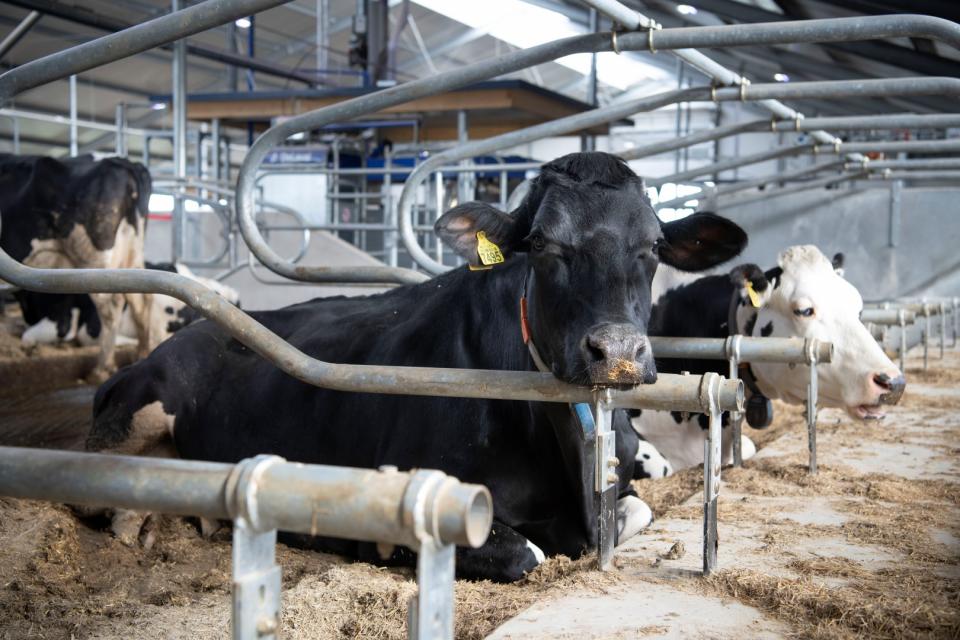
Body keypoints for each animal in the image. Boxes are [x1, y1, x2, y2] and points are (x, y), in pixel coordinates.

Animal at [0, 154, 153, 380]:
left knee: (111, 305)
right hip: (132, 255)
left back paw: (102, 369)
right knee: (141, 302)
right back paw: (142, 355)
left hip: (94, 259)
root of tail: (122, 161)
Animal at [83, 152, 747, 582]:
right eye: (542, 244)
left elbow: (639, 508)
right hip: (137, 413)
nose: (619, 352)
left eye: (654, 247)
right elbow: (526, 555)